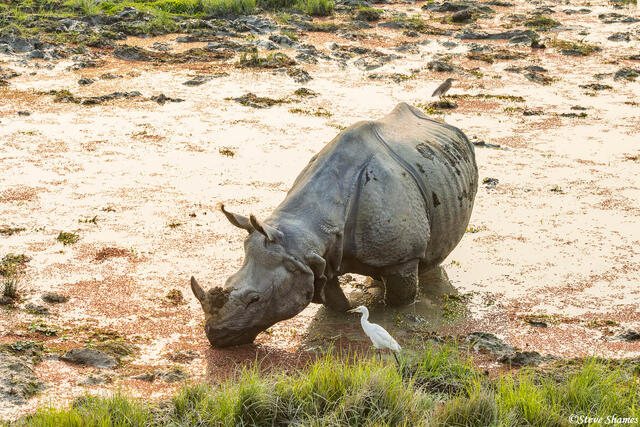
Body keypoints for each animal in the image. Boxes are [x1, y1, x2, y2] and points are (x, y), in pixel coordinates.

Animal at [191, 102, 478, 348]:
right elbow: (335, 301)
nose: (215, 335)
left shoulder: (402, 258)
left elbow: (399, 300)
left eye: (255, 299)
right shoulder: (314, 261)